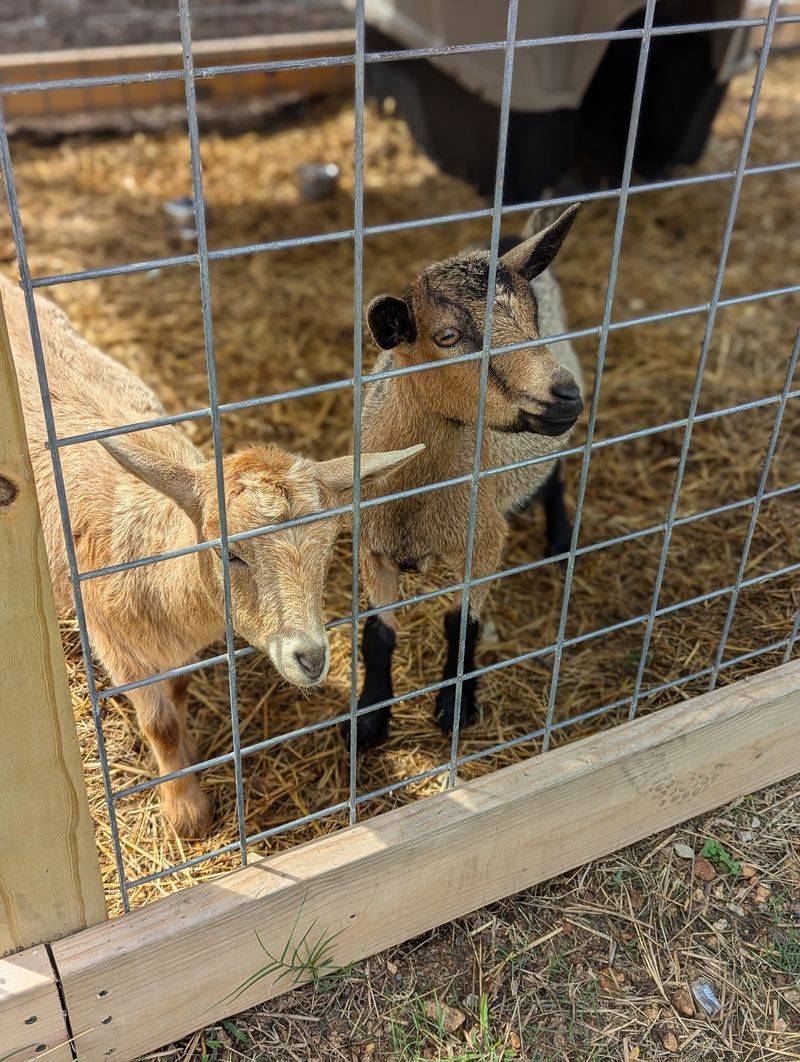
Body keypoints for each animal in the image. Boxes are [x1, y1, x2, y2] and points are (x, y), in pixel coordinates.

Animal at [4, 274, 422, 834]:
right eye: (232, 555)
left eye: (329, 547)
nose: (312, 658)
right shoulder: (118, 647)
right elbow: (158, 724)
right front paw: (186, 810)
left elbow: (179, 695)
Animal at [356, 204, 584, 746]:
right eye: (447, 337)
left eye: (532, 317)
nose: (566, 396)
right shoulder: (371, 549)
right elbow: (378, 634)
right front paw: (370, 718)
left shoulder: (483, 542)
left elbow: (460, 628)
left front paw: (455, 707)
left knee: (554, 474)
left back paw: (560, 539)